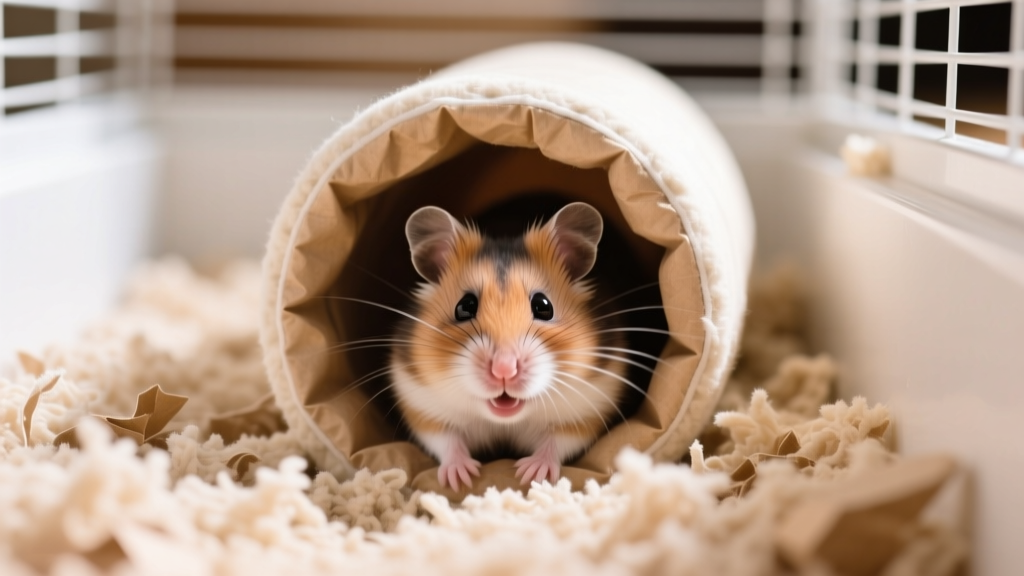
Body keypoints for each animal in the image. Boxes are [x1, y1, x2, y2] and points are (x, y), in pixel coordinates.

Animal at [391, 202, 629, 490]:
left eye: (544, 306)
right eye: (464, 306)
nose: (503, 370)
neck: (504, 421)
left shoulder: (586, 409)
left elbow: (557, 442)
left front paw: (531, 474)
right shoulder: (422, 405)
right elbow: (446, 439)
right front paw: (461, 479)